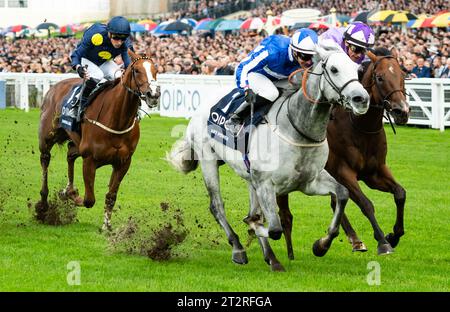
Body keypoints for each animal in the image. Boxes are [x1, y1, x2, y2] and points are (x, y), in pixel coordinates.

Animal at [37, 48, 160, 229]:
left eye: (155, 70)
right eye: (137, 70)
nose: (154, 94)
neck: (118, 120)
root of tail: (55, 87)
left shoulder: (123, 162)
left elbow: (111, 196)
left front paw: (106, 225)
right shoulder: (89, 159)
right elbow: (89, 200)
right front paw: (72, 195)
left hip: (76, 143)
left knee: (70, 154)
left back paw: (68, 189)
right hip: (47, 138)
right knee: (45, 159)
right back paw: (44, 204)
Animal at [168, 42, 370, 272]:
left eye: (357, 70)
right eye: (334, 69)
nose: (362, 99)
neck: (296, 129)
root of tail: (201, 107)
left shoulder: (310, 182)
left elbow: (342, 194)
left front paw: (321, 245)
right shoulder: (266, 183)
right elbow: (272, 228)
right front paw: (254, 231)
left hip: (249, 177)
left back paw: (271, 258)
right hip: (208, 160)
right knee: (217, 206)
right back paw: (238, 248)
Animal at [276, 47, 410, 258]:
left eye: (402, 75)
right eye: (380, 78)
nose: (401, 111)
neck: (361, 127)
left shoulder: (375, 172)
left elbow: (400, 194)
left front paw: (393, 235)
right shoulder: (343, 171)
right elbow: (365, 204)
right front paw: (382, 241)